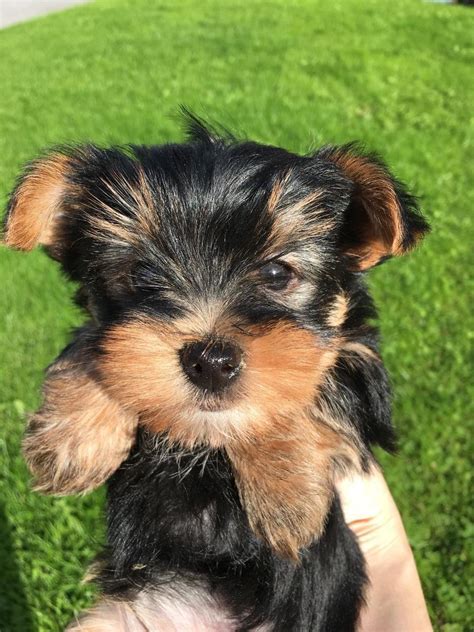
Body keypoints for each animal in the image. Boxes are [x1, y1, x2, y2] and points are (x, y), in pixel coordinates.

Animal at [1, 115, 428, 632]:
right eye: (141, 275)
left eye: (277, 274)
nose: (210, 361)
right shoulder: (111, 334)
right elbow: (94, 343)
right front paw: (71, 443)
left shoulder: (360, 366)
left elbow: (317, 386)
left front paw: (289, 498)